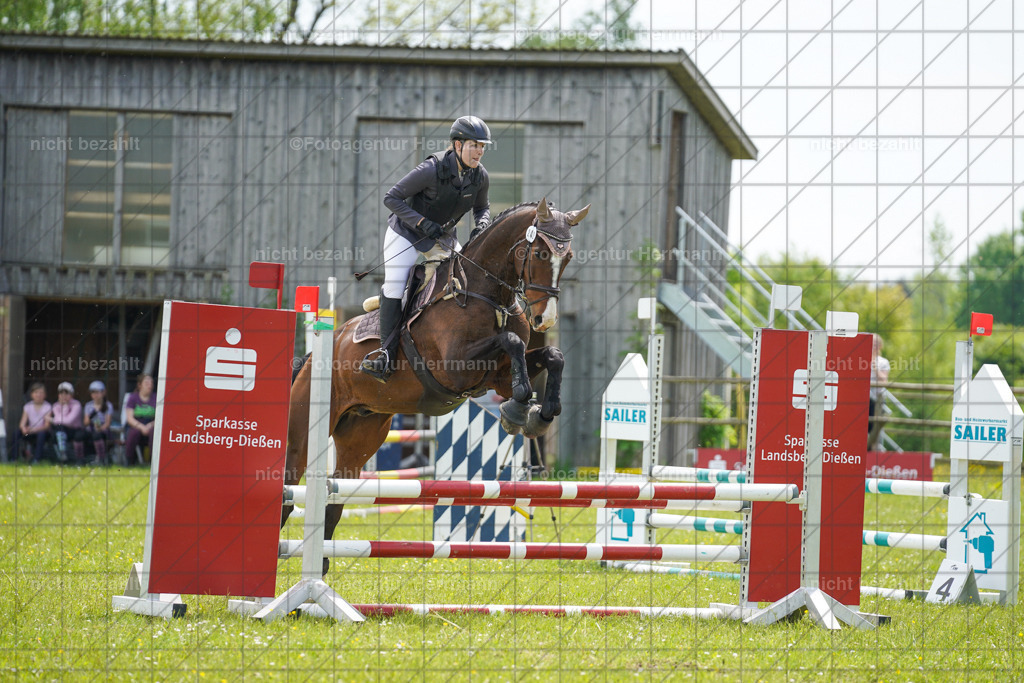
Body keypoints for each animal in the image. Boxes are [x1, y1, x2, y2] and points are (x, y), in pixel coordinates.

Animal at [282, 198, 590, 570]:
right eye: (542, 254)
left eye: (568, 257)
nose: (545, 319)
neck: (489, 294)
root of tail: (313, 355)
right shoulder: (456, 367)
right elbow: (513, 341)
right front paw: (519, 409)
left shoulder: (499, 375)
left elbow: (552, 355)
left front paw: (538, 414)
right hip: (304, 432)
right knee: (288, 489)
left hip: (361, 436)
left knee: (335, 496)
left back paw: (321, 569)